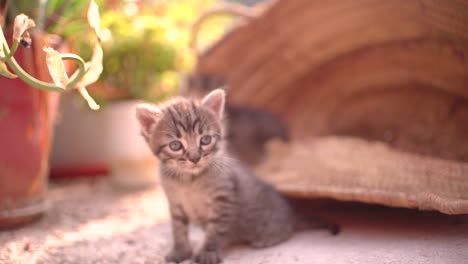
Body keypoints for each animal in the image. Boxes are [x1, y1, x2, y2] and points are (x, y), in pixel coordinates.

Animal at [135, 89, 336, 262]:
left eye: (205, 140)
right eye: (176, 145)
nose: (194, 158)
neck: (189, 180)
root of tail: (291, 214)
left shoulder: (223, 198)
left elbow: (215, 230)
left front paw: (208, 252)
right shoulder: (175, 204)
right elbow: (178, 230)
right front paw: (180, 251)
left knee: (287, 232)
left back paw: (269, 239)